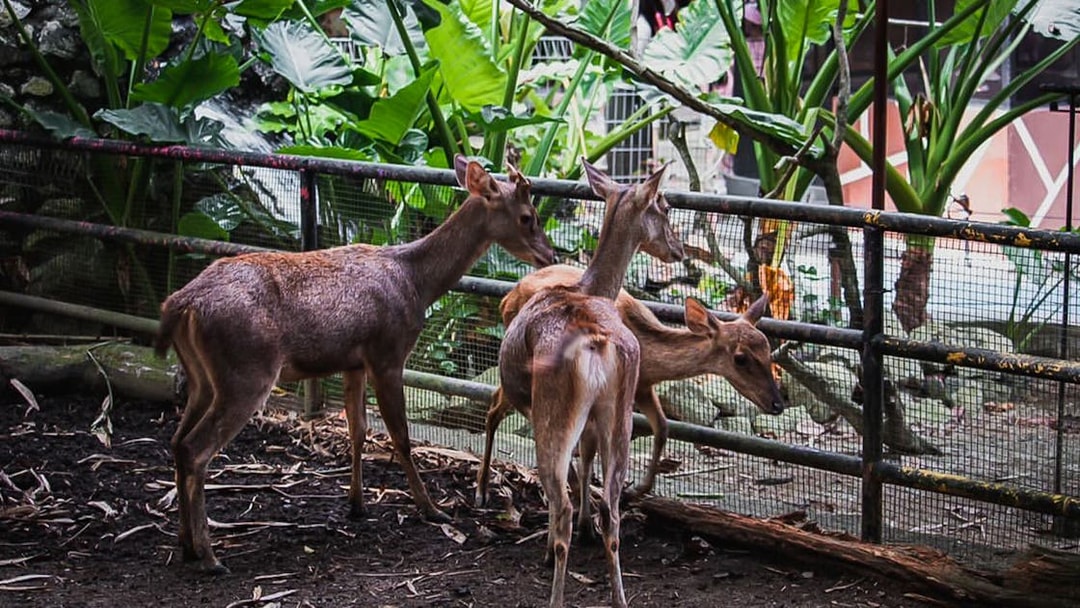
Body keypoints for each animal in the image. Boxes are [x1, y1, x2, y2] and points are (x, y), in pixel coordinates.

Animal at [153, 156, 555, 574]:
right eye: (528, 216)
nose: (551, 255)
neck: (417, 284)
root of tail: (181, 305)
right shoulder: (388, 353)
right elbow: (401, 436)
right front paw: (431, 509)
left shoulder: (354, 362)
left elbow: (357, 430)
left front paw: (357, 504)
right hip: (247, 372)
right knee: (196, 448)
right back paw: (209, 555)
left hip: (203, 377)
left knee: (178, 441)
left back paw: (186, 543)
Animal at [476, 266, 784, 504]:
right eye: (740, 358)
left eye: (769, 351)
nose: (777, 403)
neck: (648, 353)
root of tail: (506, 299)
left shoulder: (644, 386)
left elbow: (662, 427)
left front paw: (638, 489)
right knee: (494, 406)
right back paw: (482, 491)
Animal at [496, 159, 682, 608]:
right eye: (665, 207)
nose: (679, 250)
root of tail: (596, 342)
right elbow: (586, 465)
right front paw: (586, 530)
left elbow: (570, 475)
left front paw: (552, 546)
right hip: (620, 415)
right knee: (613, 509)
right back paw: (618, 595)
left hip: (554, 410)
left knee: (559, 496)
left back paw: (555, 583)